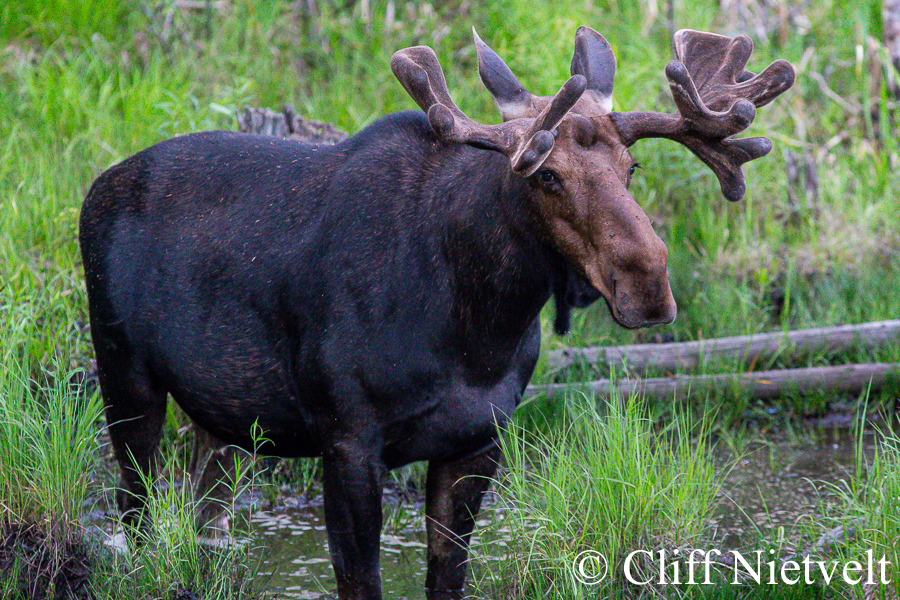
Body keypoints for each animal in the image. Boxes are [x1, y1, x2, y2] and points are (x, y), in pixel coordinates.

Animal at [81, 27, 792, 600]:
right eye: (546, 175)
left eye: (632, 166)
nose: (647, 286)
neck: (478, 329)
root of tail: (96, 187)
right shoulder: (349, 440)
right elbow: (361, 583)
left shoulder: (477, 441)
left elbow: (447, 579)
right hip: (124, 375)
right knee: (134, 512)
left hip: (218, 414)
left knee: (204, 515)